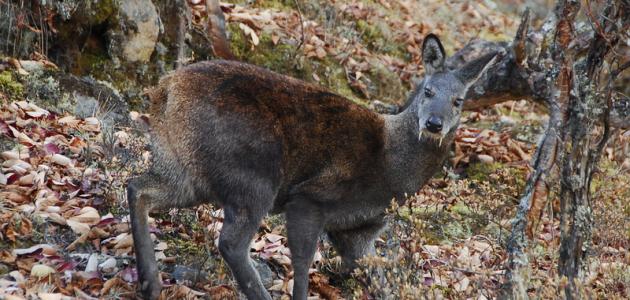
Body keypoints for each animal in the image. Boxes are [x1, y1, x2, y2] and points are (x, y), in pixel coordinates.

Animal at [130, 34, 504, 298]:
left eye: (459, 101)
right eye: (427, 91)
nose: (434, 124)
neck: (392, 168)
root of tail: (165, 89)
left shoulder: (359, 230)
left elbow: (377, 278)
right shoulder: (311, 196)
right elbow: (302, 264)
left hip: (184, 165)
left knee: (138, 186)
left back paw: (151, 282)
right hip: (254, 174)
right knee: (232, 243)